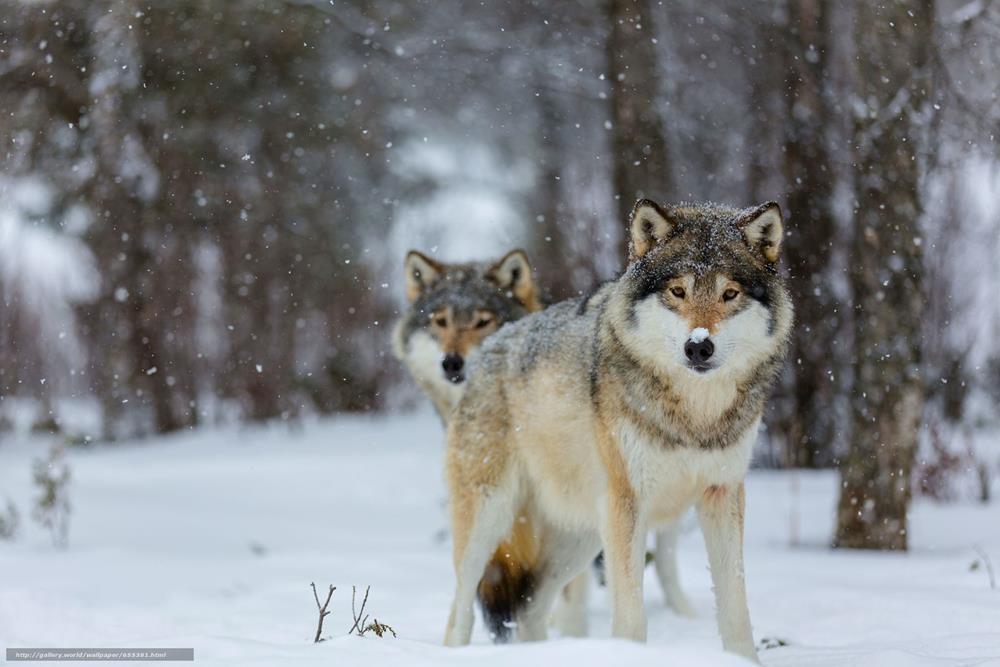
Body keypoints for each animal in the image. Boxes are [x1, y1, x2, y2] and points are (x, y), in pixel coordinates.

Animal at [442, 199, 792, 662]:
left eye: (729, 294)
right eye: (677, 292)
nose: (699, 346)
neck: (694, 417)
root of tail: (489, 346)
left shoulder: (723, 493)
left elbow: (735, 608)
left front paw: (743, 661)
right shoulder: (629, 504)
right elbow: (630, 615)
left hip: (581, 536)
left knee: (531, 608)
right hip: (491, 518)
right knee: (460, 609)